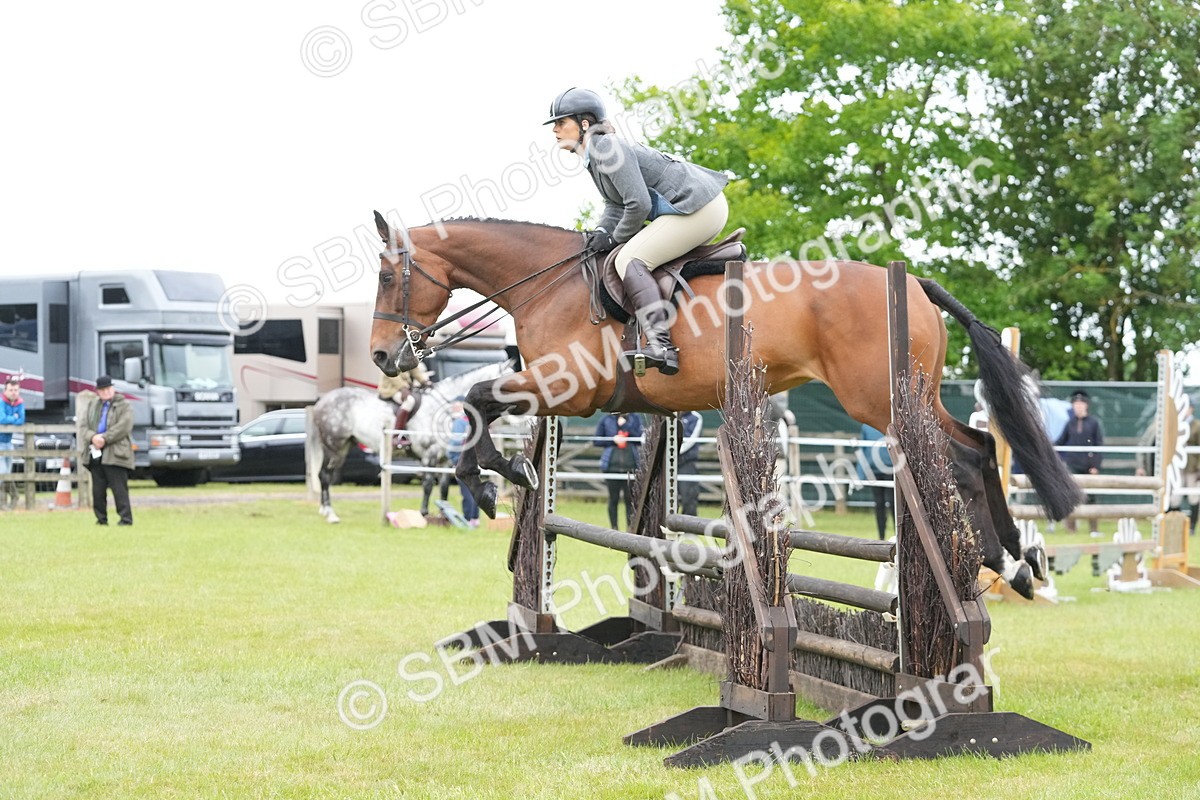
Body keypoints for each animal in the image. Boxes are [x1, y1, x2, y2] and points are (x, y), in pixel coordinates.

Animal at [308, 359, 515, 523]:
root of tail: (321, 402)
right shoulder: (430, 455)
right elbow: (428, 484)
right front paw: (423, 513)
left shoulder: (442, 459)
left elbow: (444, 487)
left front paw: (444, 513)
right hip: (334, 447)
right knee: (324, 476)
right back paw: (330, 514)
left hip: (344, 447)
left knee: (324, 475)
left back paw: (325, 511)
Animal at [367, 213, 1083, 598]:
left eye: (386, 275)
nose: (380, 358)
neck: (548, 285)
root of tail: (914, 284)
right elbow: (481, 403)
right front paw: (507, 474)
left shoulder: (567, 387)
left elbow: (475, 400)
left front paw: (493, 481)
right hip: (913, 397)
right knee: (980, 445)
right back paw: (1018, 558)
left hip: (882, 403)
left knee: (959, 457)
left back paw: (1000, 559)